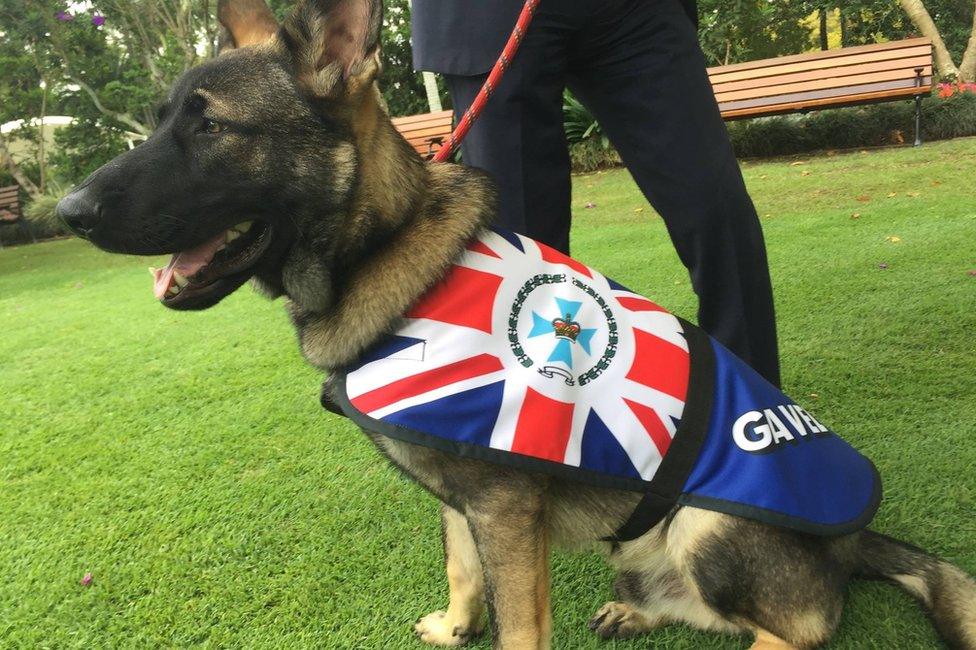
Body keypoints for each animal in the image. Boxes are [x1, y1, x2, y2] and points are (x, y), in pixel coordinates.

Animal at [59, 1, 976, 644]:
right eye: (161, 121)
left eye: (212, 125)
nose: (66, 211)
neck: (388, 249)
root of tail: (855, 541)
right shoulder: (466, 501)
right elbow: (461, 572)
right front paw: (454, 627)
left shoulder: (505, 508)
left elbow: (519, 628)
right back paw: (638, 611)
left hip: (705, 523)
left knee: (803, 628)